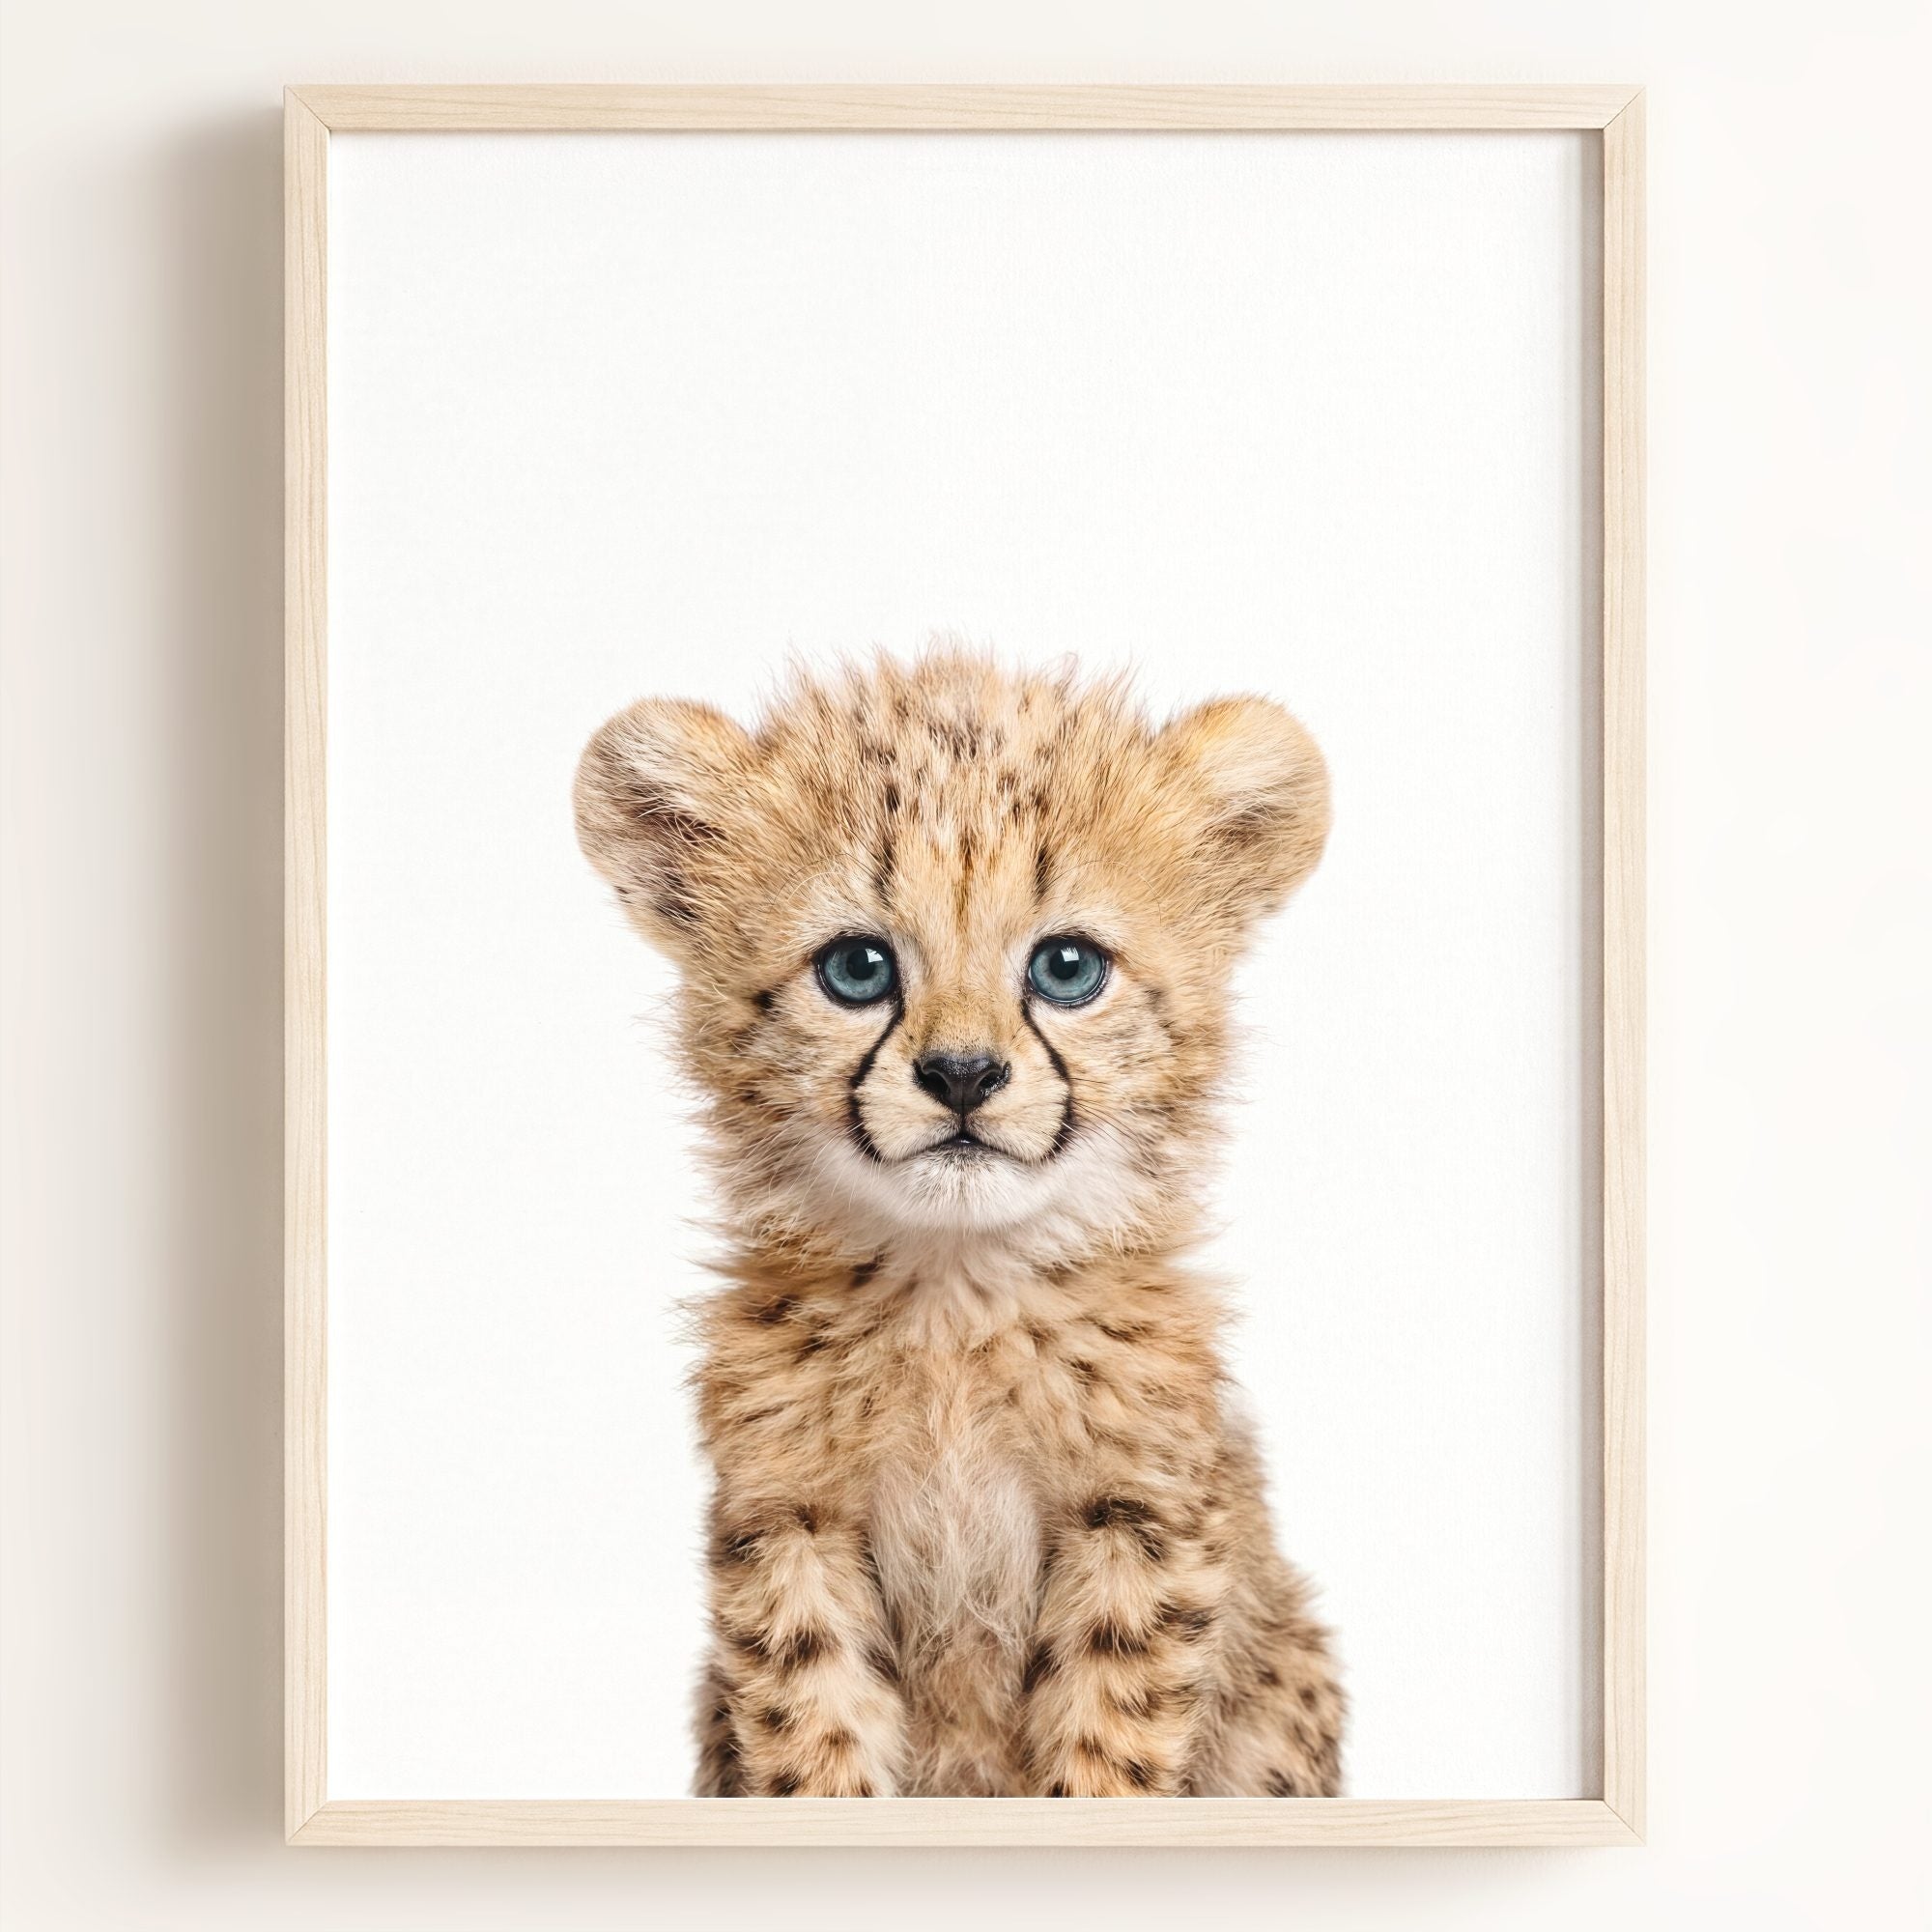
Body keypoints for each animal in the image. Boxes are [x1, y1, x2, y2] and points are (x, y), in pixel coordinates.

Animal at [574, 647, 1344, 1798]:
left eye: (1067, 967)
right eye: (857, 967)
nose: (963, 1074)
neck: (955, 1294)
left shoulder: (1137, 1515)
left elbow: (1109, 1740)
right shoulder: (791, 1520)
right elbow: (813, 1732)